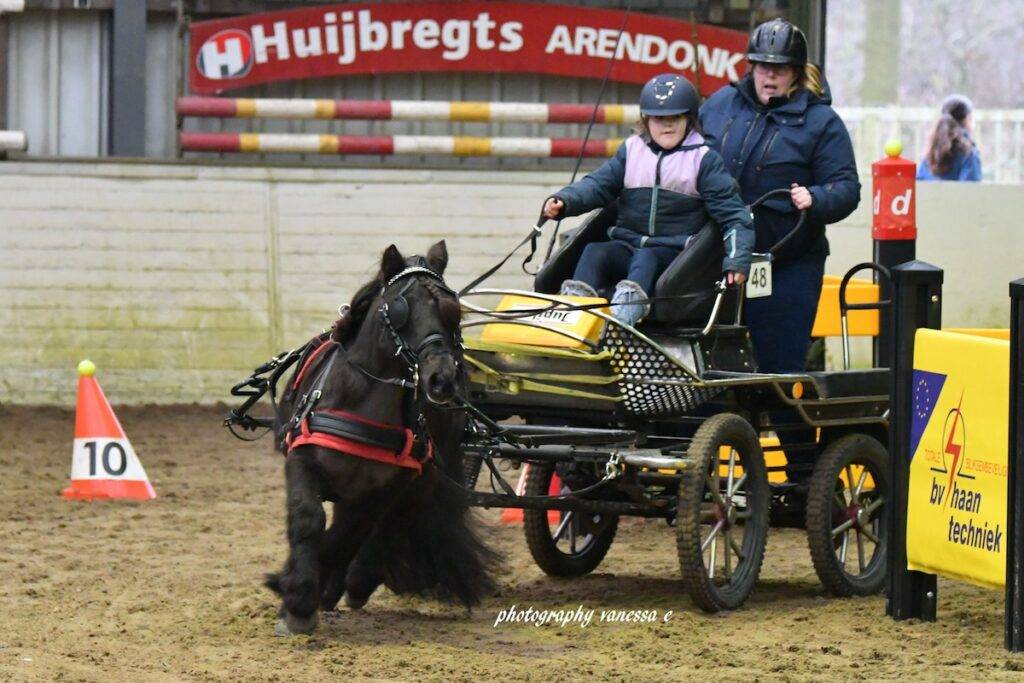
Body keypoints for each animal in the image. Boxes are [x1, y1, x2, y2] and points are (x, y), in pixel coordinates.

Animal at [266, 240, 499, 636]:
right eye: (400, 309)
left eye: (452, 310)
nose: (442, 379)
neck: (362, 404)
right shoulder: (303, 458)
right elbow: (309, 519)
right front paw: (296, 601)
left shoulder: (384, 487)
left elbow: (347, 536)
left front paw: (299, 595)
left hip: (422, 477)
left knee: (391, 525)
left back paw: (354, 582)